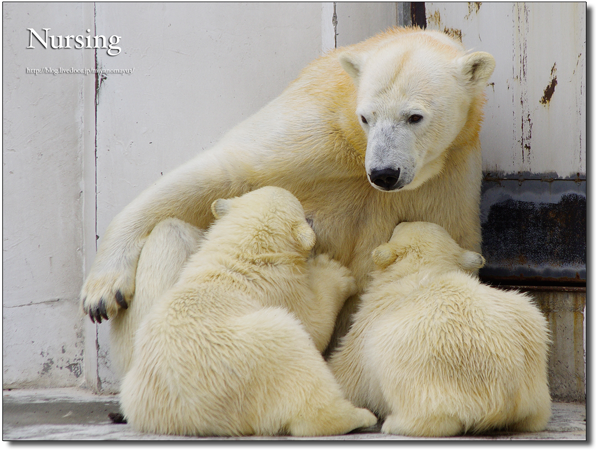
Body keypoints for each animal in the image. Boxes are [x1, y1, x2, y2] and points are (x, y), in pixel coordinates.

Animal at [82, 27, 494, 356]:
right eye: (366, 117)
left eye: (414, 116)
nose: (383, 173)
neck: (355, 147)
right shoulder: (316, 136)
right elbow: (223, 174)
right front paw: (104, 289)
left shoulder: (448, 179)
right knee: (174, 234)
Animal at [119, 186, 378, 434]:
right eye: (305, 215)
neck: (243, 258)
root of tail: (196, 417)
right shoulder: (282, 291)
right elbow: (314, 324)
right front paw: (336, 272)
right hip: (253, 356)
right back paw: (359, 416)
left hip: (136, 396)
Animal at [330, 222, 552, 438]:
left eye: (398, 227)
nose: (400, 221)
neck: (423, 271)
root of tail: (499, 399)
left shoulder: (371, 318)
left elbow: (348, 368)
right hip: (531, 336)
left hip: (416, 355)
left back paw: (395, 423)